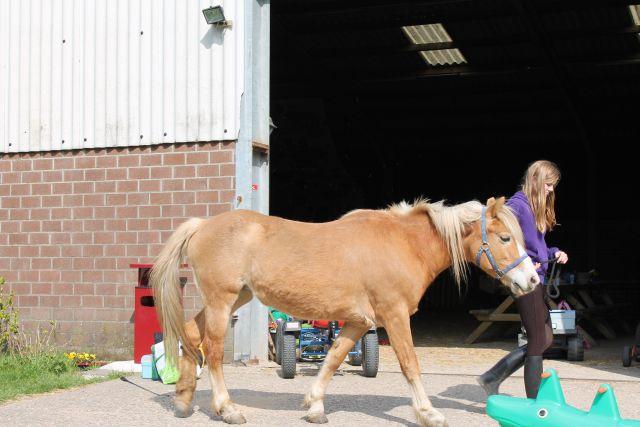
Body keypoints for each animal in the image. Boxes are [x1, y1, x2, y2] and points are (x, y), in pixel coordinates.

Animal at [150, 196, 539, 427]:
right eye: (505, 238)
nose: (532, 279)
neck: (403, 244)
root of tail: (202, 225)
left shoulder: (357, 322)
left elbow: (333, 358)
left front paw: (314, 406)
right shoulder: (394, 315)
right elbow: (410, 364)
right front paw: (428, 412)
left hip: (236, 298)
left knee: (191, 334)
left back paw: (183, 401)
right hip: (222, 301)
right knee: (213, 352)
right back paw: (227, 408)